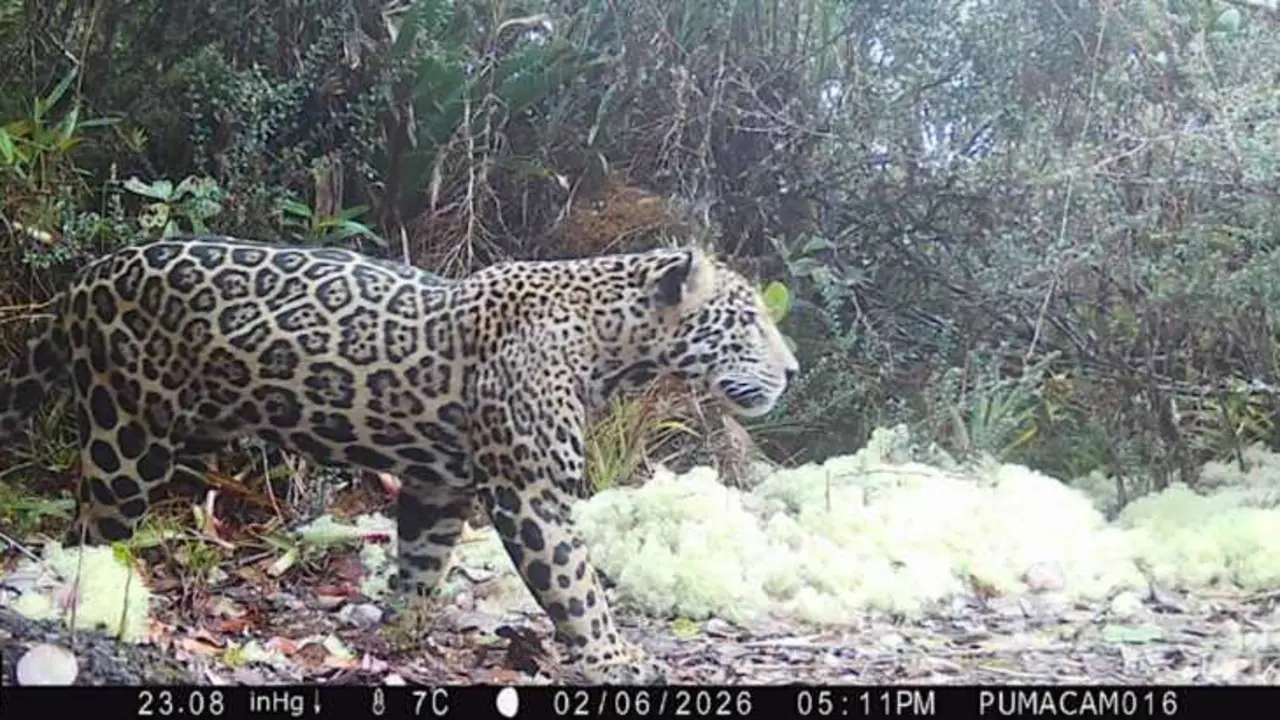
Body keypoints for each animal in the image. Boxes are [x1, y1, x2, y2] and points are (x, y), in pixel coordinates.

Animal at [0, 234, 799, 684]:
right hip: (127, 434)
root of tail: (85, 277)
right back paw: (91, 602)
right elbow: (577, 587)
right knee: (92, 525)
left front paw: (400, 631)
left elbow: (422, 560)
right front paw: (615, 658)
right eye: (748, 321)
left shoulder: (438, 486)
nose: (793, 371)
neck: (609, 343)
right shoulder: (531, 492)